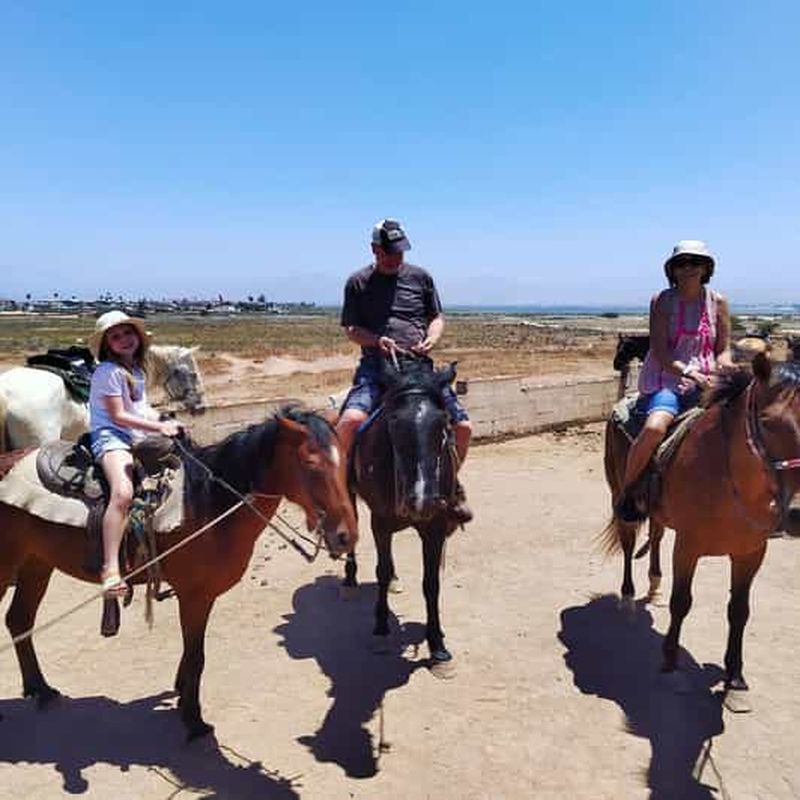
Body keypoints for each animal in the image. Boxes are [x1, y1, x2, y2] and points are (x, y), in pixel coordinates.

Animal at [0, 405, 358, 739]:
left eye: (343, 460)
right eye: (311, 464)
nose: (346, 536)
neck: (208, 506)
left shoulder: (201, 596)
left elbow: (190, 653)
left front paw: (182, 694)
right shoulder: (194, 596)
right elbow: (197, 656)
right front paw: (194, 720)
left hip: (36, 564)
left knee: (19, 620)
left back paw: (42, 690)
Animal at [343, 358, 460, 668]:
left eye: (443, 421)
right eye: (394, 420)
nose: (421, 501)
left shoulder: (435, 526)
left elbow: (431, 582)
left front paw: (437, 644)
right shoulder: (380, 521)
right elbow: (381, 571)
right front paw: (381, 629)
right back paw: (349, 580)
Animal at [603, 353, 800, 699]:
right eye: (767, 422)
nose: (798, 514)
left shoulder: (751, 552)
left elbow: (739, 610)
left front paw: (735, 679)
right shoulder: (688, 547)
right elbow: (681, 603)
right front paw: (670, 667)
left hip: (658, 512)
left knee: (656, 535)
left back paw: (654, 586)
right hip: (620, 497)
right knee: (628, 545)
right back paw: (627, 599)